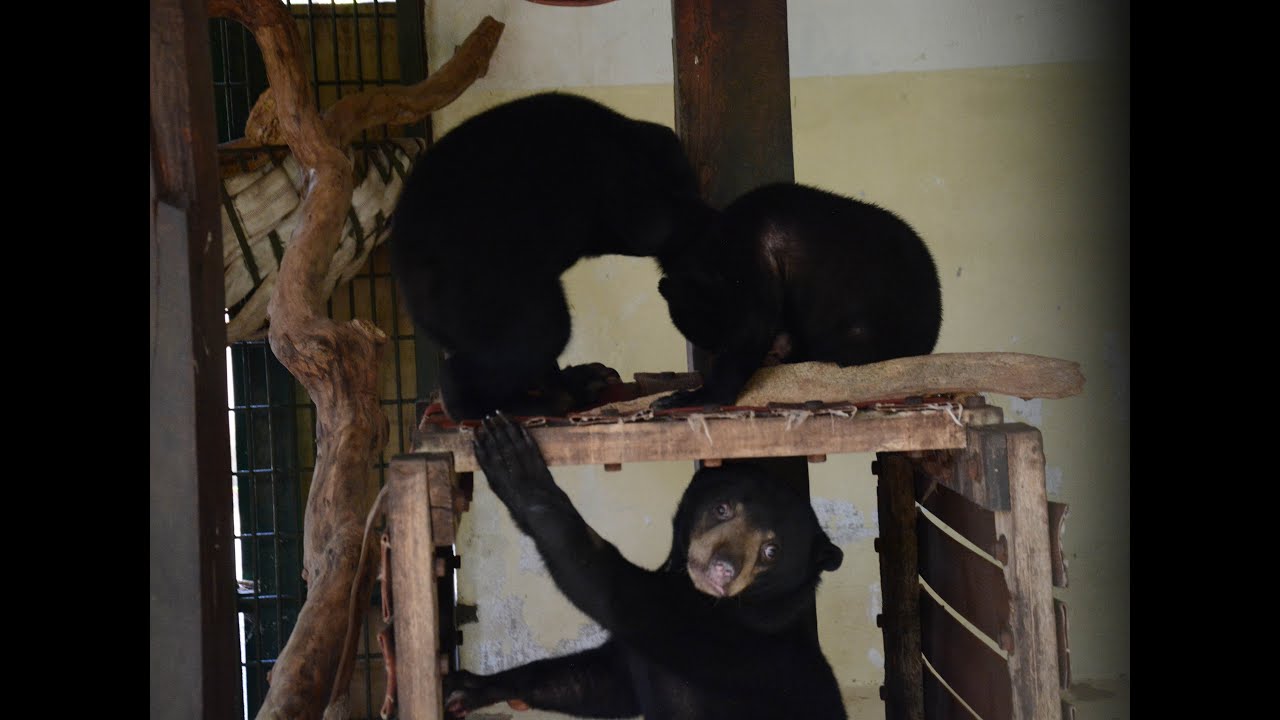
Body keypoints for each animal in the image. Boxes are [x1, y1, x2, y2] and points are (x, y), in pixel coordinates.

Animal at [444, 412, 848, 720]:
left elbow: (617, 594)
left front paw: (518, 471)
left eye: (771, 551)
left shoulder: (720, 643)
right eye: (723, 508)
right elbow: (601, 682)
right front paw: (470, 685)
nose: (722, 568)